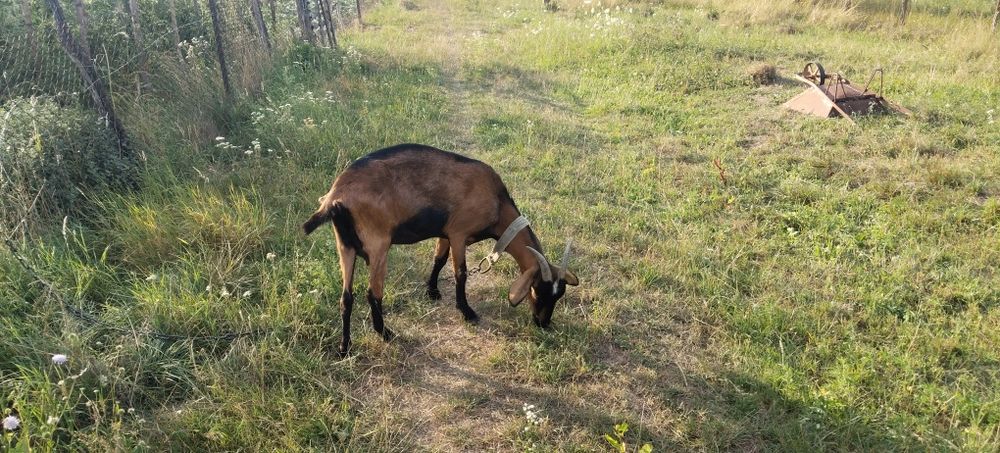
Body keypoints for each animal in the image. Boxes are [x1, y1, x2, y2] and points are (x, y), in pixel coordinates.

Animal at [303, 143, 579, 356]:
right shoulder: (458, 233)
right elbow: (461, 273)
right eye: (537, 290)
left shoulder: (445, 233)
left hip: (345, 246)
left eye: (559, 295)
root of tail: (336, 197)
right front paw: (466, 311)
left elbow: (439, 260)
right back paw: (386, 334)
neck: (498, 204)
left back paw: (344, 347)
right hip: (378, 245)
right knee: (373, 293)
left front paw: (432, 291)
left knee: (346, 297)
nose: (543, 323)